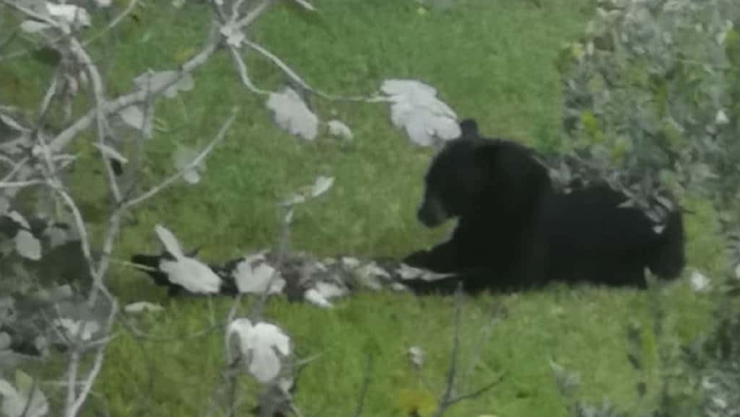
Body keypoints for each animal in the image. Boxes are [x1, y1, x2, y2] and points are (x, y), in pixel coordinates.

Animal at [402, 119, 685, 295]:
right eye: (428, 180)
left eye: (444, 184)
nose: (422, 213)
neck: (493, 199)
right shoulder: (480, 222)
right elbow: (460, 247)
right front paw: (415, 259)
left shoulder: (529, 221)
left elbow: (509, 274)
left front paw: (421, 284)